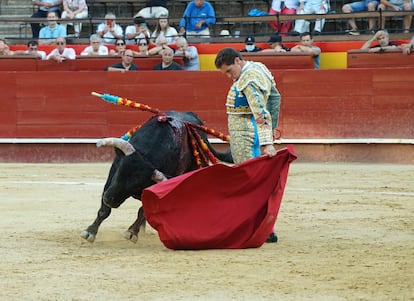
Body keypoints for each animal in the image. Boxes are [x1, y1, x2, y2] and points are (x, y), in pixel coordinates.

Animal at [79, 110, 231, 241]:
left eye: (137, 185)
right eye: (120, 172)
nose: (109, 199)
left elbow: (144, 211)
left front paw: (131, 233)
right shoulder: (112, 175)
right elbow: (104, 210)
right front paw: (90, 232)